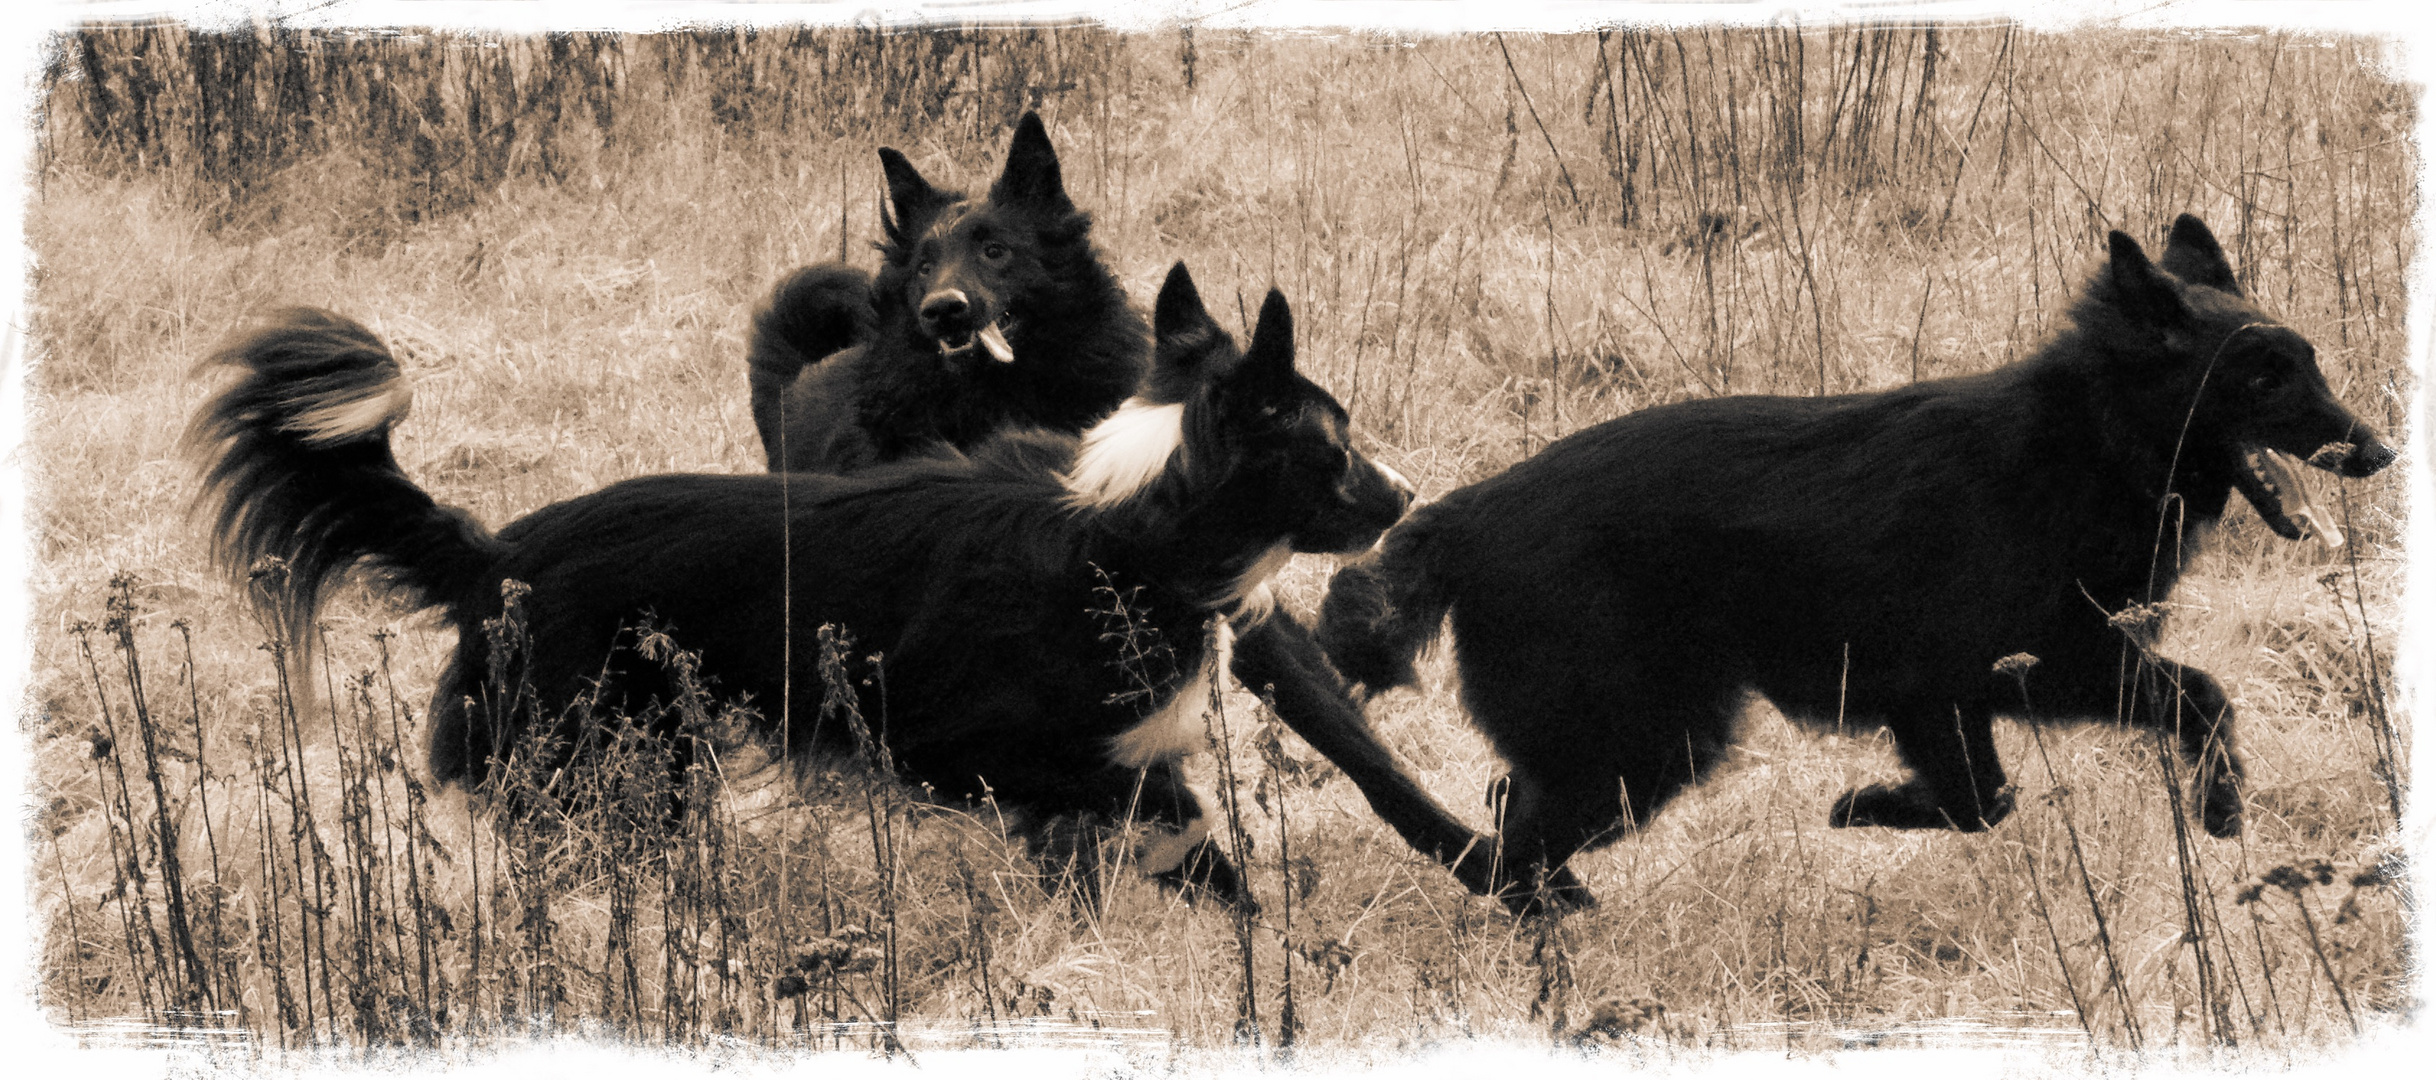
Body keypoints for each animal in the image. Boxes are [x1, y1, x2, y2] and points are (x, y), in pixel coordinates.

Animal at [190, 264, 1412, 906]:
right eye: (1335, 449)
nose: (1405, 497)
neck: (1134, 523)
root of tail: (492, 560)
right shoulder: (982, 739)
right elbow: (1167, 811)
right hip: (602, 748)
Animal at [1315, 215, 2397, 906]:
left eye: (2309, 364)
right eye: (2266, 377)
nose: (2382, 451)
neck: (2094, 440)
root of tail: (1467, 514)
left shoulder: (1977, 693)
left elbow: (1993, 797)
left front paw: (1878, 804)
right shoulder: (2004, 677)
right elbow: (2162, 715)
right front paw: (2220, 809)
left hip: (1623, 743)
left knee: (1511, 816)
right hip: (1649, 741)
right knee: (1512, 849)